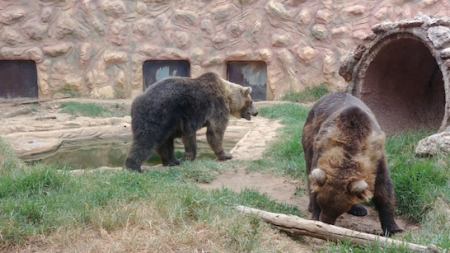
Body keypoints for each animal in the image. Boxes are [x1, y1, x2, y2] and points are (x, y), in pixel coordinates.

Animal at [125, 72, 258, 173]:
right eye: (251, 101)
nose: (256, 112)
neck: (227, 96)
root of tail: (136, 101)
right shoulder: (216, 106)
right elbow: (216, 132)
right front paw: (226, 154)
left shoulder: (187, 120)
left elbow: (189, 138)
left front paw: (187, 157)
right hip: (158, 114)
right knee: (146, 139)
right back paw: (134, 166)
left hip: (168, 121)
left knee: (165, 142)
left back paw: (173, 161)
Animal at [300, 91, 402, 235]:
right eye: (322, 204)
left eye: (338, 210)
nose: (326, 221)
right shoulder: (320, 150)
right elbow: (314, 179)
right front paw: (314, 213)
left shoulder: (377, 159)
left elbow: (384, 189)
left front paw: (393, 228)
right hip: (309, 134)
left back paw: (359, 209)